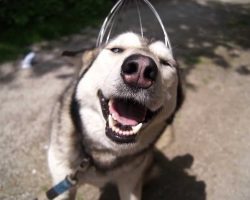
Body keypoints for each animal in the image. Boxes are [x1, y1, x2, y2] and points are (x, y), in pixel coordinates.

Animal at [47, 32, 183, 199]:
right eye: (116, 49)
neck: (105, 153)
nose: (141, 68)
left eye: (165, 63)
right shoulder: (62, 176)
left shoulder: (130, 181)